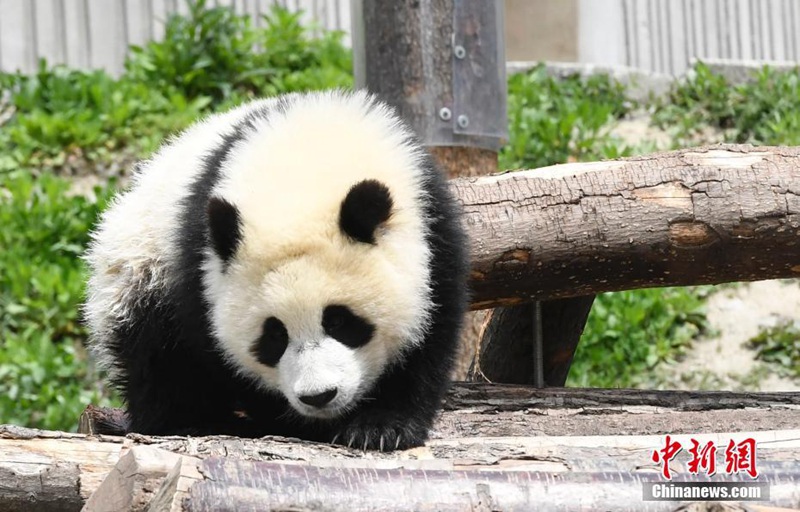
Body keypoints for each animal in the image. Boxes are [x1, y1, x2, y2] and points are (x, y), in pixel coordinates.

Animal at [83, 90, 469, 451]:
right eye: (273, 335)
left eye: (339, 320)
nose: (319, 396)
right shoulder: (199, 269)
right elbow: (220, 356)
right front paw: (301, 424)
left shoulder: (432, 223)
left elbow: (430, 333)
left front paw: (380, 427)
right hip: (141, 267)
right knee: (155, 356)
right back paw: (192, 422)